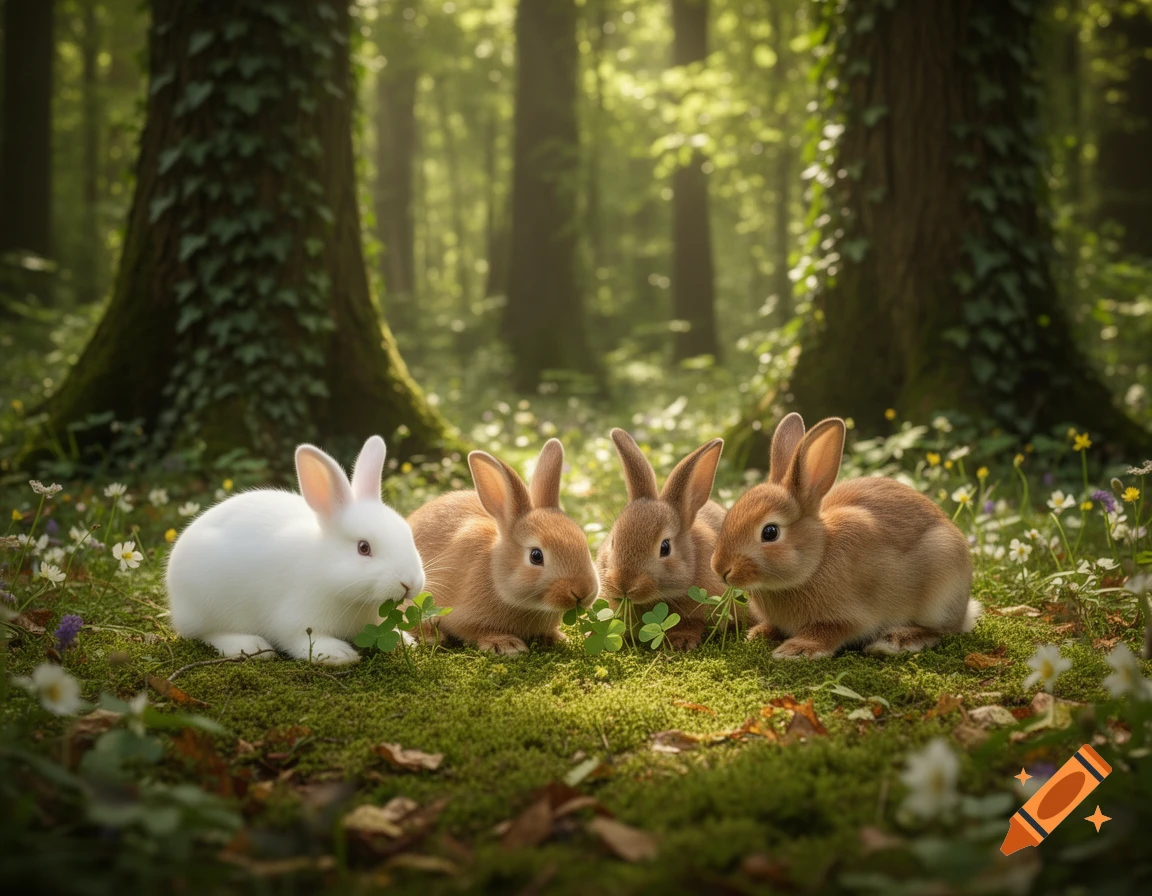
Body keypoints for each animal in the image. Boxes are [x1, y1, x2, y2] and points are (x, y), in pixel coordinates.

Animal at [166, 435, 425, 666]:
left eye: (407, 533)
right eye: (364, 548)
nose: (410, 583)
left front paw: (406, 641)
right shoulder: (293, 620)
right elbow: (300, 641)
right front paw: (338, 654)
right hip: (206, 603)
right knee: (206, 633)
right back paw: (250, 646)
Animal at [407, 439, 599, 655]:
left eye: (584, 542)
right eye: (536, 556)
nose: (584, 591)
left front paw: (556, 637)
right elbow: (475, 630)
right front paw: (507, 645)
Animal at [710, 413, 980, 659]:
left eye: (770, 532)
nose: (720, 569)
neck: (818, 559)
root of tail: (965, 609)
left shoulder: (850, 616)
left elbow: (829, 632)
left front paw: (796, 649)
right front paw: (758, 634)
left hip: (942, 585)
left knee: (939, 631)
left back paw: (894, 641)